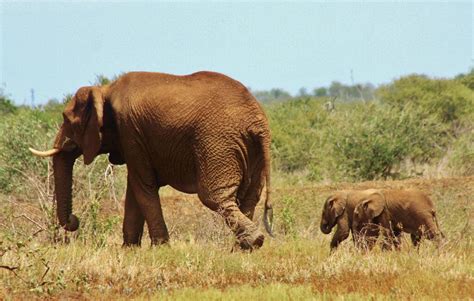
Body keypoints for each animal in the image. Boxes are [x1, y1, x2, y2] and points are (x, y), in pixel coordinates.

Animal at [29, 70, 272, 248]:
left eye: (67, 119)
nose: (73, 221)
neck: (105, 90)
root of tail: (257, 120)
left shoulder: (131, 131)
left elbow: (142, 186)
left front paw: (160, 248)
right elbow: (134, 189)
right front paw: (129, 249)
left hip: (217, 143)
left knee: (215, 197)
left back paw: (253, 242)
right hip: (250, 151)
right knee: (248, 198)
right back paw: (242, 248)